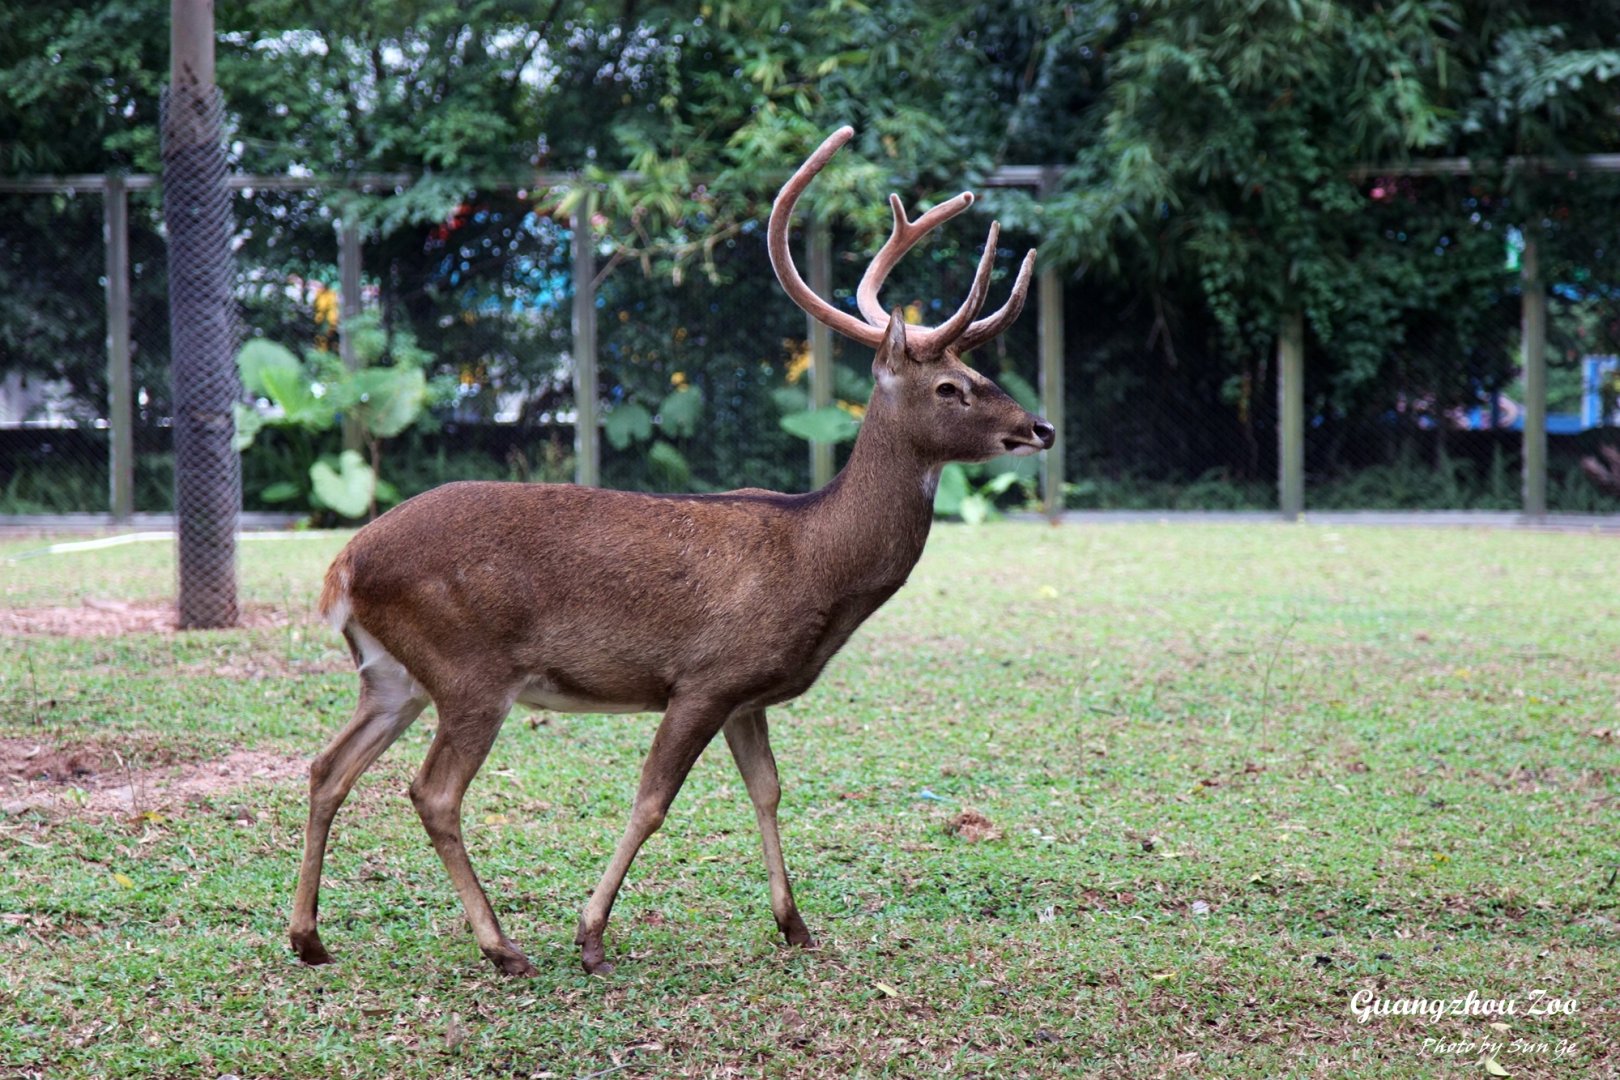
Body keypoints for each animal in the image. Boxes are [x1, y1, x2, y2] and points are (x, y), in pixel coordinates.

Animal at [288, 125, 1054, 977]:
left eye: (976, 370)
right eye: (951, 387)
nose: (1039, 428)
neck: (817, 562)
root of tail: (343, 567)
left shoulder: (748, 694)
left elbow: (768, 790)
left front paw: (795, 923)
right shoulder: (704, 676)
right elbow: (652, 800)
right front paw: (590, 934)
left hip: (392, 673)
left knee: (326, 767)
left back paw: (310, 937)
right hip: (469, 667)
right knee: (432, 792)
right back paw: (502, 946)